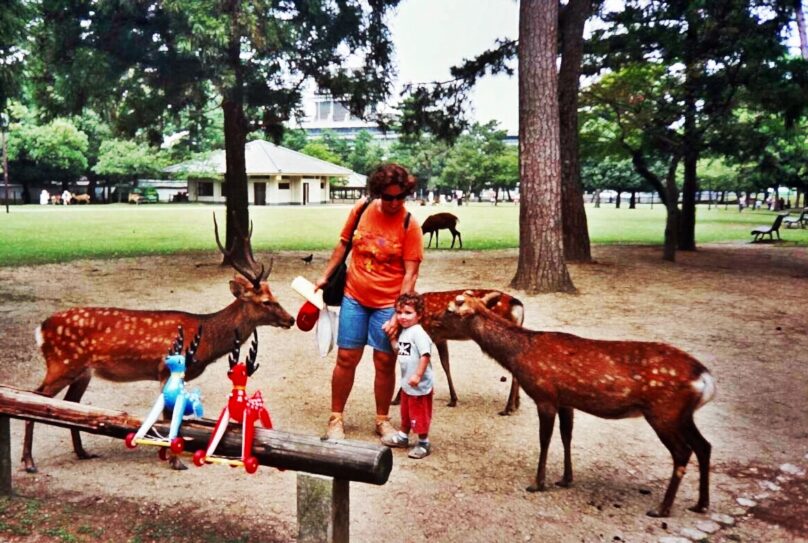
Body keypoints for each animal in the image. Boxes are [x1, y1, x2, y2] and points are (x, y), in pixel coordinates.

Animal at [20, 215, 296, 474]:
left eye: (275, 296)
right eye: (265, 301)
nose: (290, 319)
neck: (206, 338)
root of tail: (40, 329)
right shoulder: (166, 371)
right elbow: (170, 417)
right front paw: (175, 461)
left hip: (82, 371)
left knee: (70, 403)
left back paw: (82, 452)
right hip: (62, 363)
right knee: (35, 397)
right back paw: (29, 462)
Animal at [392, 292, 528, 414]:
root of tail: (518, 306)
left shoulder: (430, 336)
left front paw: (396, 399)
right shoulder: (440, 338)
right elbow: (446, 365)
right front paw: (453, 399)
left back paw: (508, 407)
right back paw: (516, 404)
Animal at [446, 294, 716, 520]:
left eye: (452, 307)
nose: (439, 316)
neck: (520, 355)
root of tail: (705, 379)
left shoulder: (545, 396)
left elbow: (545, 440)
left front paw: (538, 483)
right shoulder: (566, 401)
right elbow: (567, 436)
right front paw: (566, 479)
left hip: (663, 411)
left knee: (683, 452)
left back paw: (662, 508)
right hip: (682, 415)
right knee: (704, 445)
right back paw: (701, 504)